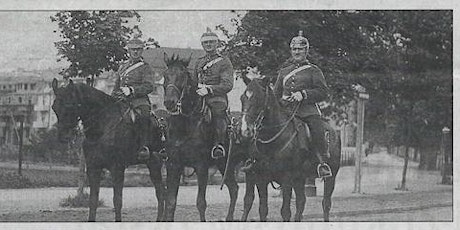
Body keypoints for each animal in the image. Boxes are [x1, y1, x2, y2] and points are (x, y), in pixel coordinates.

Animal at [51, 78, 166, 221]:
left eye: (70, 105)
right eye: (54, 107)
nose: (64, 136)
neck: (103, 126)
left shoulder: (117, 168)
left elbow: (117, 200)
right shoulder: (93, 168)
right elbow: (93, 200)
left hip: (156, 163)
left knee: (161, 193)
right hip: (155, 164)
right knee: (162, 192)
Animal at [162, 53, 243, 221]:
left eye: (182, 76)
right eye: (165, 75)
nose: (169, 102)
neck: (185, 125)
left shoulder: (201, 166)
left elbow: (201, 202)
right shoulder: (173, 165)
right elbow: (171, 202)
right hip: (224, 164)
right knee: (234, 189)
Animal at [239, 78, 340, 222]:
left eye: (258, 99)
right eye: (242, 98)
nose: (245, 131)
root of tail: (334, 132)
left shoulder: (286, 178)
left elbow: (285, 212)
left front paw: (299, 95)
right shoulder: (260, 177)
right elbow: (263, 209)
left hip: (331, 176)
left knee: (326, 203)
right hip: (300, 179)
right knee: (301, 201)